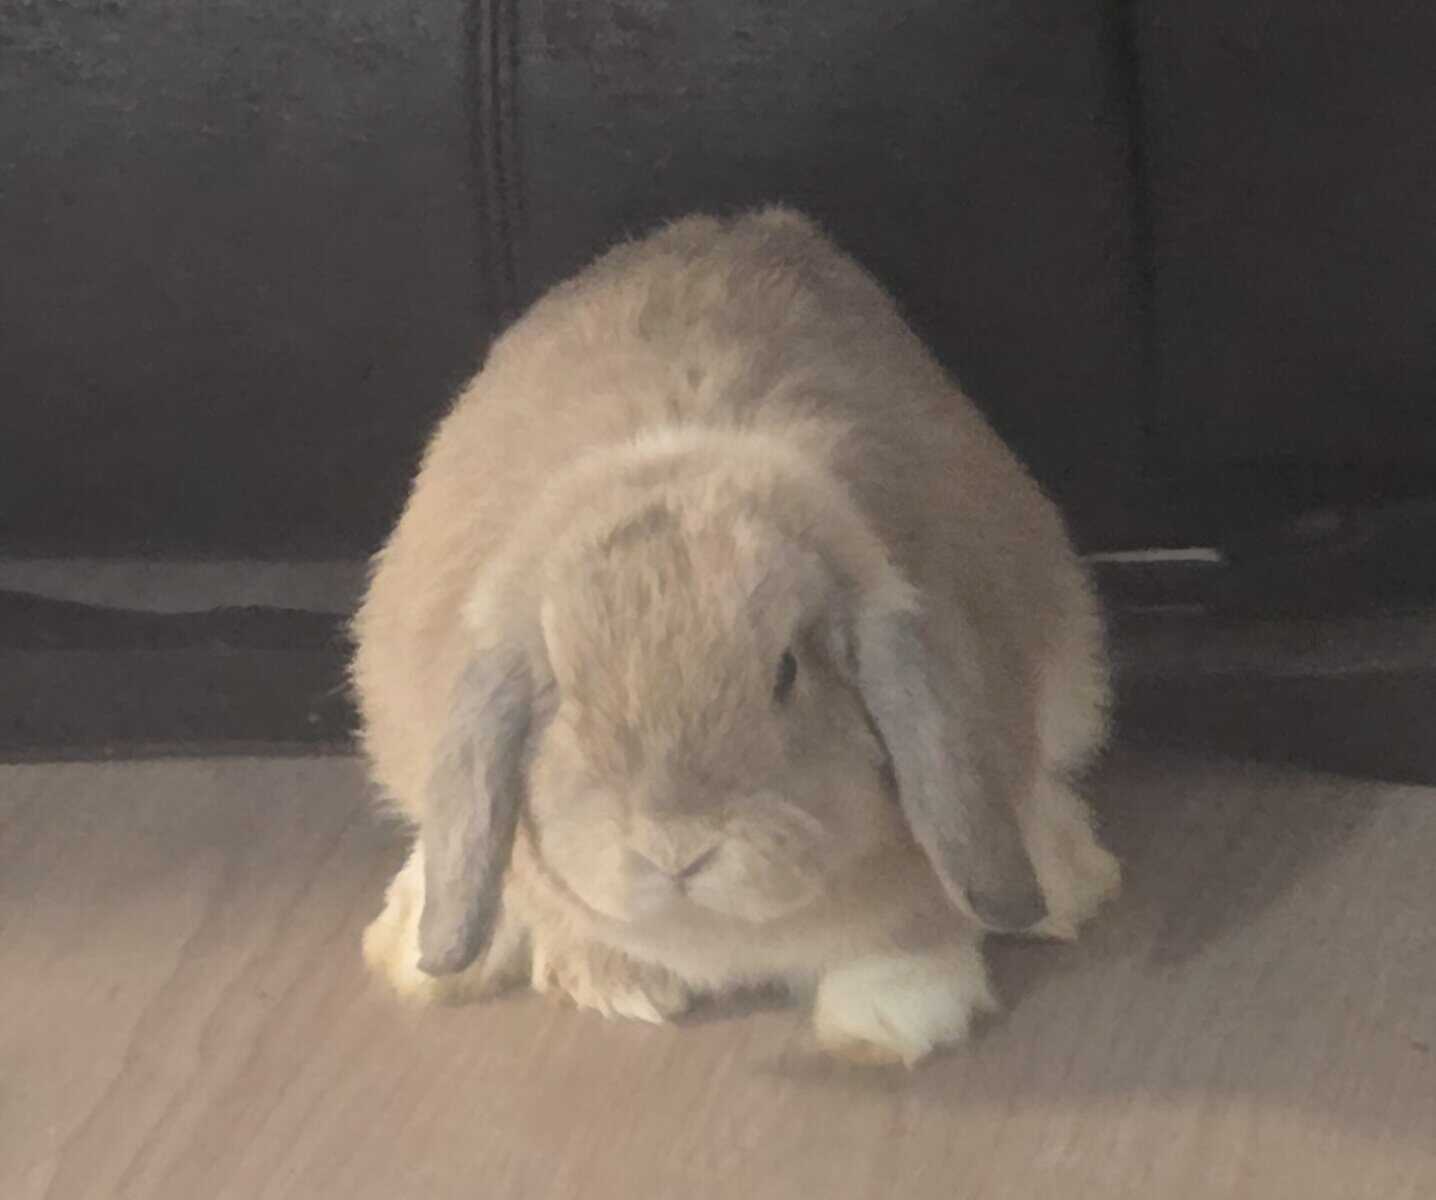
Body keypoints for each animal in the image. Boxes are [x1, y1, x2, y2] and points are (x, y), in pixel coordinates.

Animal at [352, 208, 1120, 1066]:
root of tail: (739, 225)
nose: (676, 850)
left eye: (786, 673)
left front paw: (888, 1024)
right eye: (565, 695)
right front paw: (616, 983)